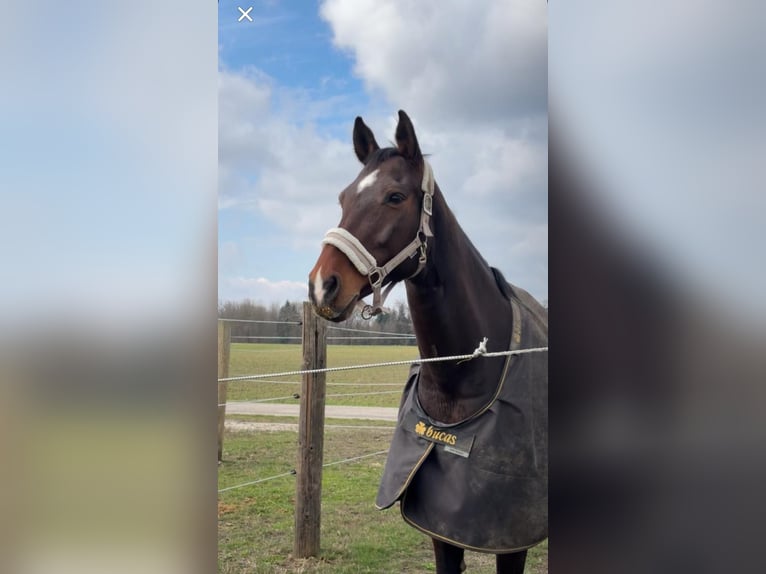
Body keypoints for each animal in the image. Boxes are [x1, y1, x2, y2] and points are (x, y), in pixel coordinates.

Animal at [308, 110, 548, 574]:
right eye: (343, 198)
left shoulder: (512, 540)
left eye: (395, 196)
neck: (463, 380)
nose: (322, 285)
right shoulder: (441, 530)